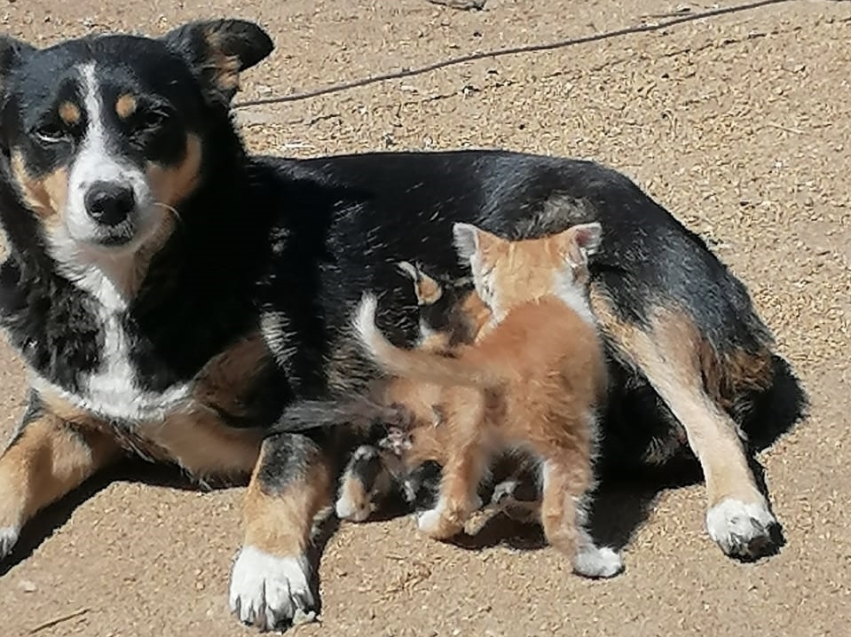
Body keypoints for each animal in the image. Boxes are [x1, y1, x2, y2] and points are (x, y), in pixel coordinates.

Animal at [352, 219, 624, 576]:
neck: (531, 297)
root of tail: (493, 363)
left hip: (464, 437)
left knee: (458, 500)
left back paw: (432, 522)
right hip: (569, 439)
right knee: (557, 514)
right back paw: (596, 561)